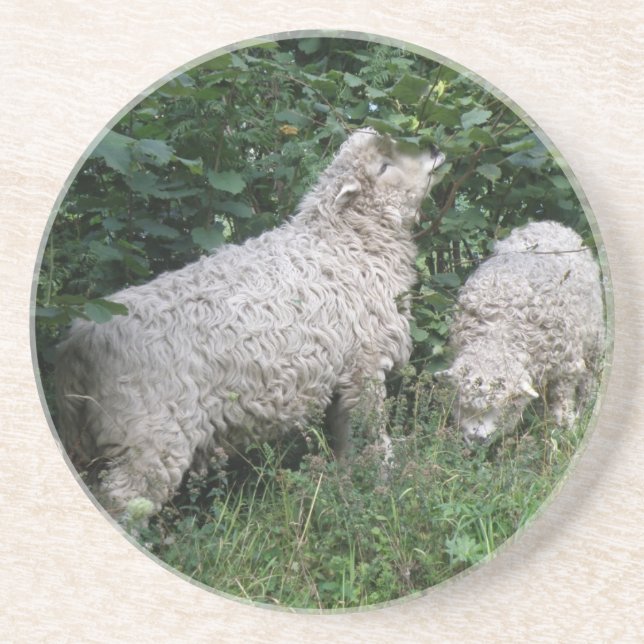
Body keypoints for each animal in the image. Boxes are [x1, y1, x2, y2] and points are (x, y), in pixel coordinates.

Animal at [55, 127, 445, 516]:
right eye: (384, 166)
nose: (433, 148)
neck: (346, 241)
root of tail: (80, 338)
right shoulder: (365, 364)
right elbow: (370, 429)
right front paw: (382, 480)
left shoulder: (343, 372)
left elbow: (345, 432)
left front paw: (349, 478)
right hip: (148, 434)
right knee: (124, 498)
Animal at [439, 220, 605, 445]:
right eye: (464, 403)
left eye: (499, 406)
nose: (476, 438)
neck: (498, 332)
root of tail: (547, 223)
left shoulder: (566, 369)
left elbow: (561, 404)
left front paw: (564, 431)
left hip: (594, 341)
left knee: (590, 380)